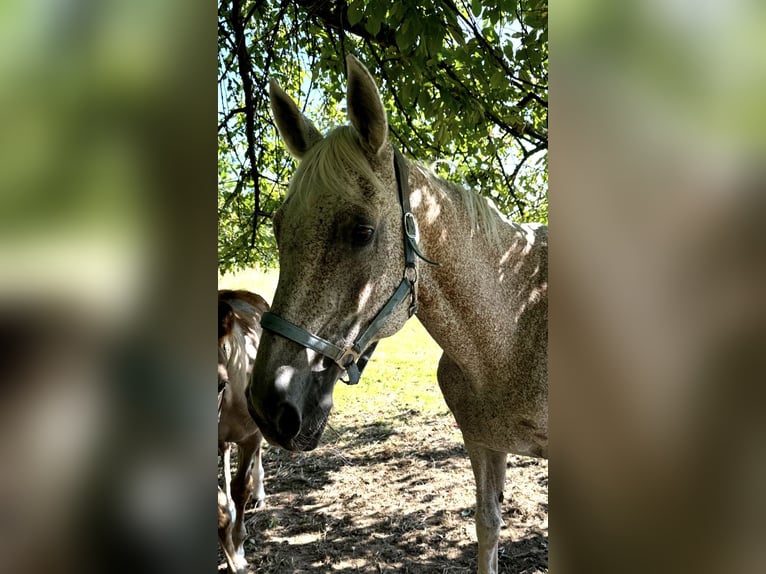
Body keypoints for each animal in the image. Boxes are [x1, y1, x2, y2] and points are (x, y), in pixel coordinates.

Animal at [249, 55, 548, 574]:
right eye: (278, 228)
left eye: (362, 232)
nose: (271, 408)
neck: (513, 330)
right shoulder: (483, 444)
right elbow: (488, 525)